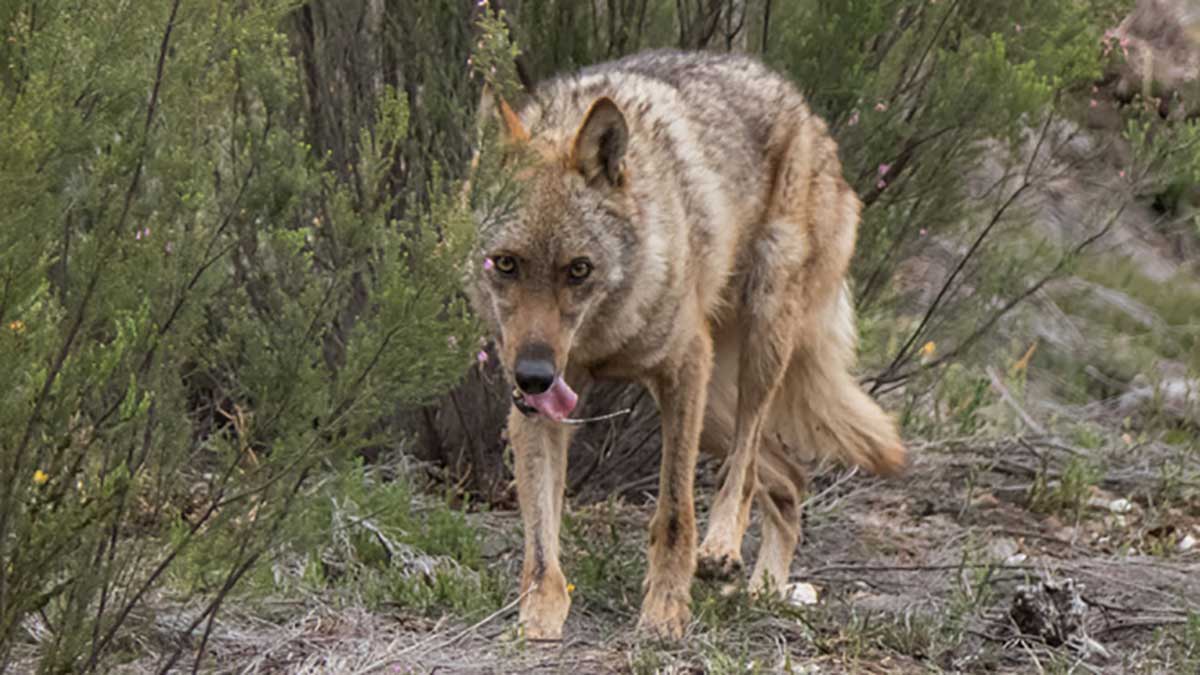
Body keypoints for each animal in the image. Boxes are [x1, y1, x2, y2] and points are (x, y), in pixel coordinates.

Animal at [463, 49, 902, 638]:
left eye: (578, 270)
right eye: (506, 264)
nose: (534, 375)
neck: (603, 336)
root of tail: (807, 112)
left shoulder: (682, 369)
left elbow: (674, 512)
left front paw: (666, 611)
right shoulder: (537, 410)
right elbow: (539, 539)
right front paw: (539, 617)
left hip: (756, 349)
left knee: (745, 468)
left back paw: (722, 549)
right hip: (714, 408)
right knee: (790, 479)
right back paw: (765, 591)